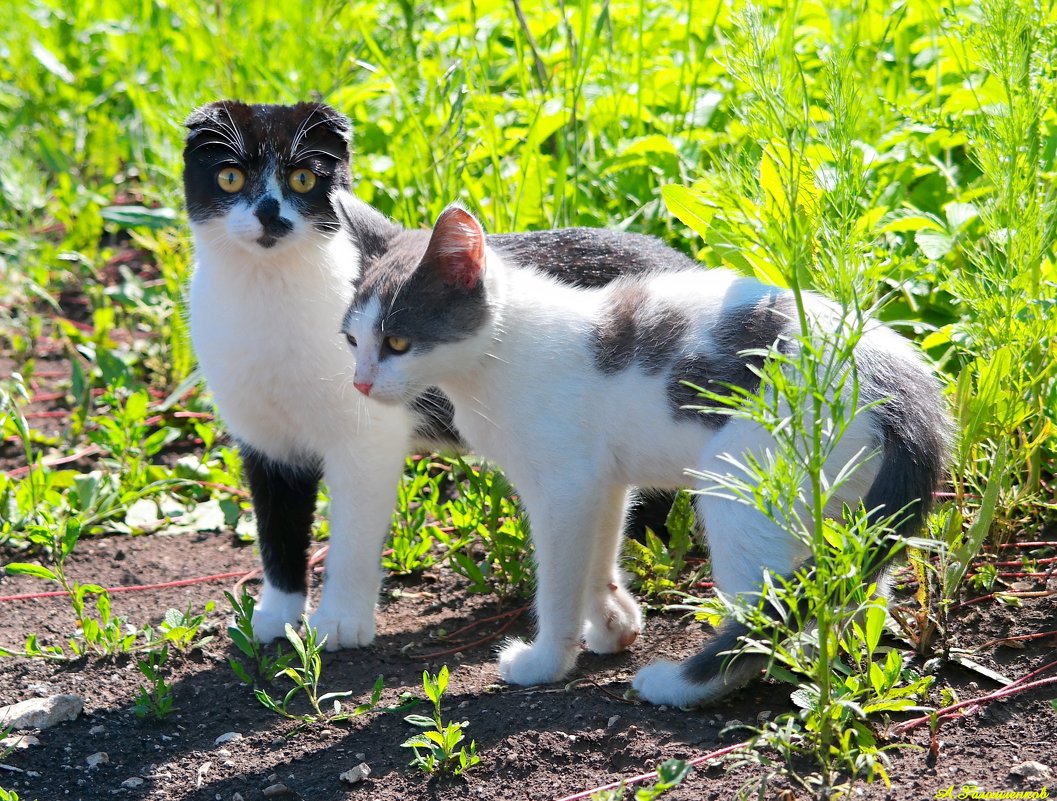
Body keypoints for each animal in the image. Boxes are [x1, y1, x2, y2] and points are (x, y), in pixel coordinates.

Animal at [181, 101, 676, 650]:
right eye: (229, 176)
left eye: (303, 179)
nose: (270, 213)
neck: (269, 299)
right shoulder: (263, 439)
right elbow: (277, 527)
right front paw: (277, 615)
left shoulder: (366, 438)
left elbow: (353, 533)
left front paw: (339, 622)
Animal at [338, 197, 951, 705]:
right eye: (351, 339)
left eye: (398, 343)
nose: (360, 384)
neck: (497, 355)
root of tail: (899, 376)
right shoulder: (600, 481)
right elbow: (598, 554)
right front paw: (611, 623)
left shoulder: (564, 485)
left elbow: (557, 580)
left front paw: (545, 662)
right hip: (850, 502)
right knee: (852, 585)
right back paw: (812, 653)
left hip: (741, 481)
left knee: (765, 610)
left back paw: (683, 684)